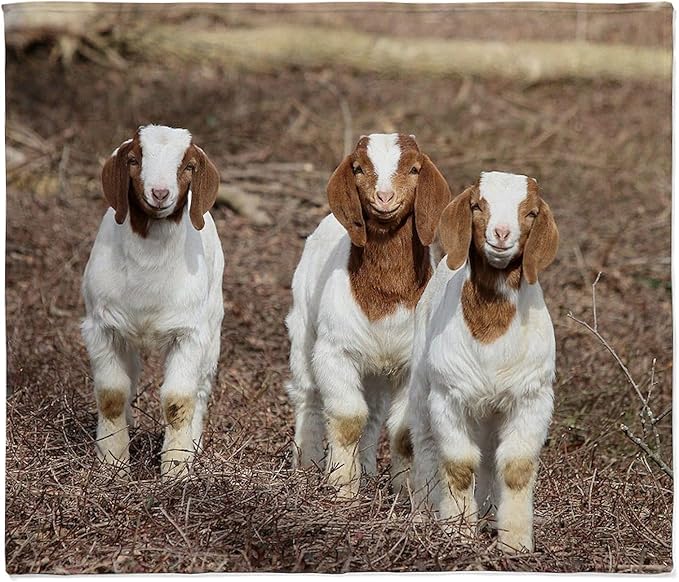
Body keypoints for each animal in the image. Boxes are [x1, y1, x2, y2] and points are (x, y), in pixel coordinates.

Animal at [81, 124, 223, 479]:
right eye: (133, 159)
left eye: (189, 166)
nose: (160, 193)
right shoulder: (101, 327)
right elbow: (112, 394)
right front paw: (113, 462)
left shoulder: (190, 333)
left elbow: (178, 400)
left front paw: (176, 469)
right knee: (130, 376)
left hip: (213, 327)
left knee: (201, 387)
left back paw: (194, 443)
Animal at [285, 133, 451, 497]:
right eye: (359, 168)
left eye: (414, 169)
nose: (384, 197)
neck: (384, 300)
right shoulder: (335, 351)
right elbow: (347, 418)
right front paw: (342, 486)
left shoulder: (410, 363)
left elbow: (402, 431)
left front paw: (404, 489)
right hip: (303, 326)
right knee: (308, 395)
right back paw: (307, 466)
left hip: (375, 368)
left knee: (374, 414)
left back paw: (370, 472)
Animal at [403, 171, 559, 552]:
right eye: (477, 205)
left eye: (531, 212)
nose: (501, 234)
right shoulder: (449, 395)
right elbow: (458, 465)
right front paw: (457, 533)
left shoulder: (531, 397)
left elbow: (516, 467)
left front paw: (515, 543)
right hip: (422, 385)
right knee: (425, 444)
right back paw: (422, 516)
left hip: (491, 410)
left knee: (489, 455)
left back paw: (489, 516)